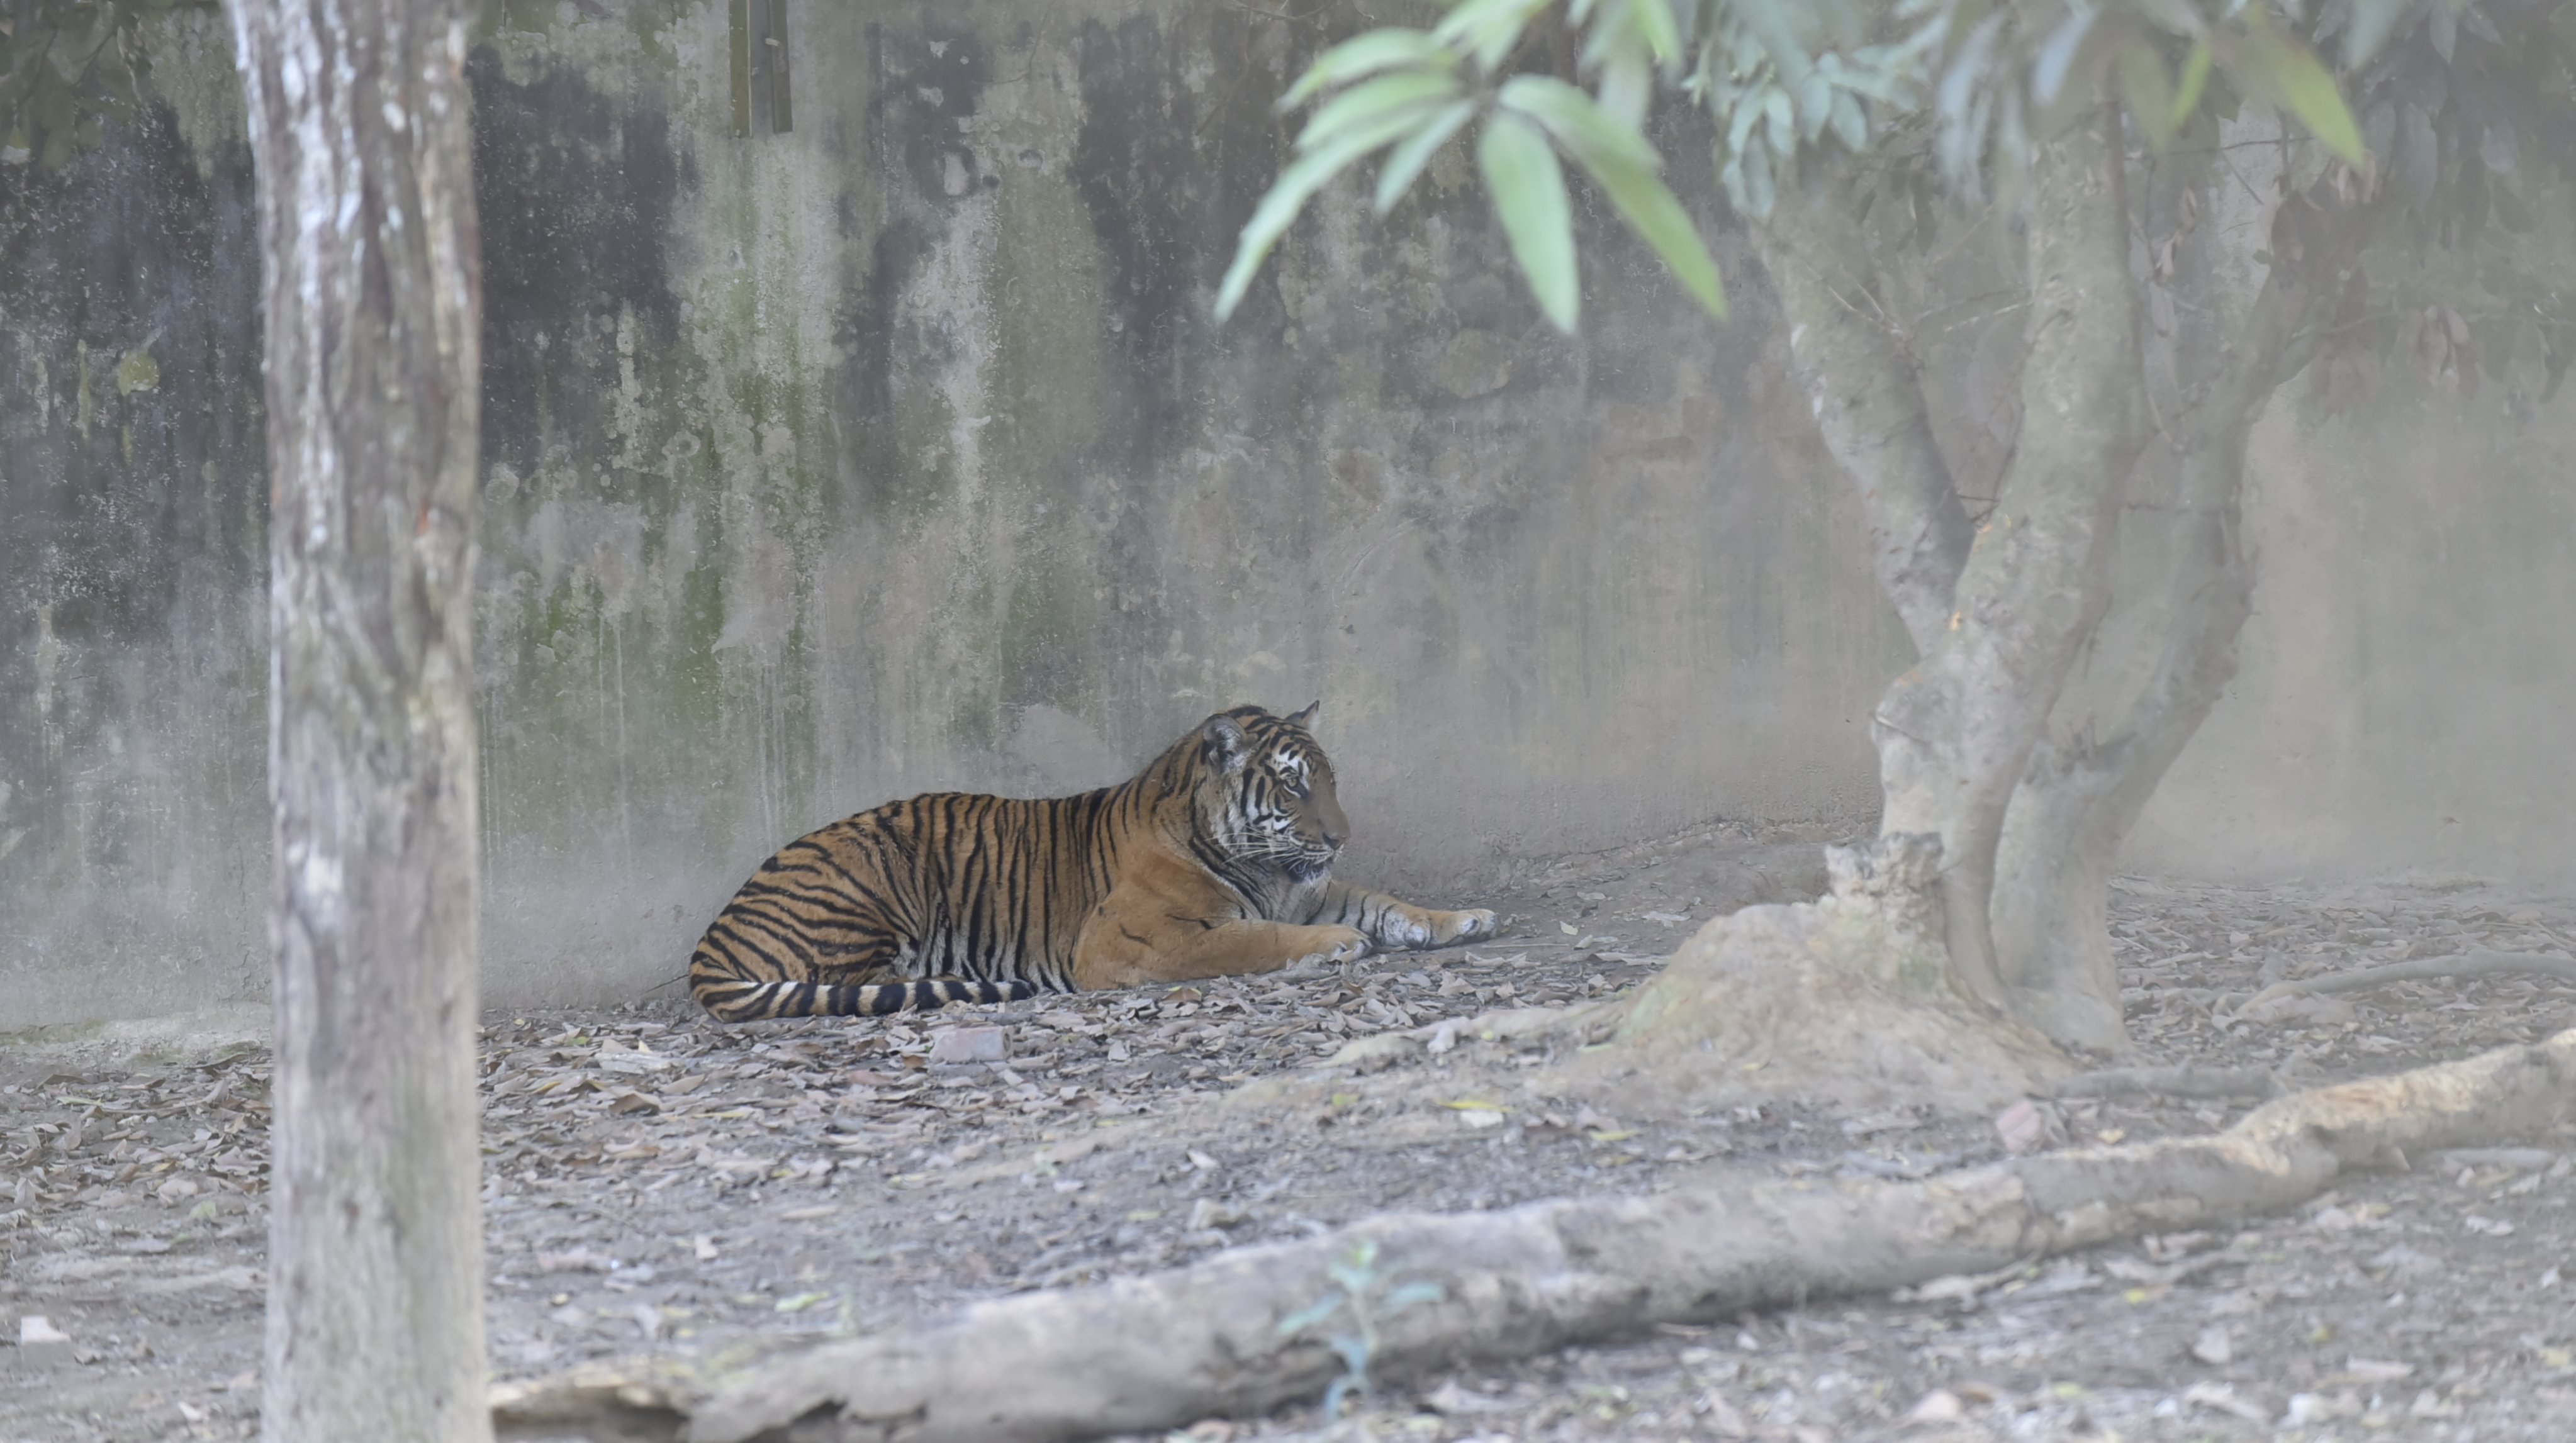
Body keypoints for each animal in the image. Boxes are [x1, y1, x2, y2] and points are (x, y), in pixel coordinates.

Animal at [690, 701, 1504, 1020]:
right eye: (1293, 783)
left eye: (1331, 780)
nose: (1338, 838)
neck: (1264, 866)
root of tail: (714, 932)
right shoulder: (1137, 939)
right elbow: (1248, 939)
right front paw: (1333, 945)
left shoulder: (1307, 886)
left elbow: (1384, 900)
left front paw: (1463, 917)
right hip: (871, 878)